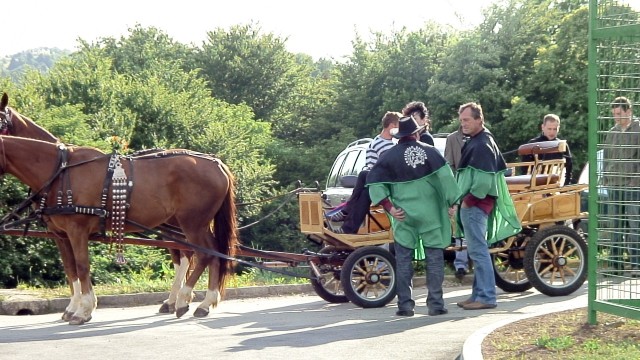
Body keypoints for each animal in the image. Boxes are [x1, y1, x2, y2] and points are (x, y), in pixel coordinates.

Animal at [0, 134, 239, 324]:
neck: (61, 171)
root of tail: (218, 164)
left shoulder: (78, 230)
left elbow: (82, 267)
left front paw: (84, 309)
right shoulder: (61, 235)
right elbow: (70, 269)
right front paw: (73, 307)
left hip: (192, 224)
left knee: (204, 254)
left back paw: (183, 300)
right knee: (214, 254)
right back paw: (205, 303)